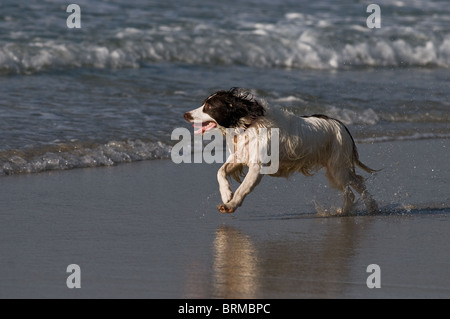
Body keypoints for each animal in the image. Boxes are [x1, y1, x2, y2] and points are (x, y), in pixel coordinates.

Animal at [185, 87, 378, 215]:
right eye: (203, 104)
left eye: (209, 107)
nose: (186, 115)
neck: (249, 123)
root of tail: (342, 126)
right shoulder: (241, 156)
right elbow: (220, 171)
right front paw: (226, 194)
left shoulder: (257, 167)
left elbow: (243, 188)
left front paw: (230, 205)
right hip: (336, 168)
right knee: (358, 182)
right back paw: (371, 206)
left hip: (337, 168)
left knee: (350, 191)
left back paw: (343, 211)